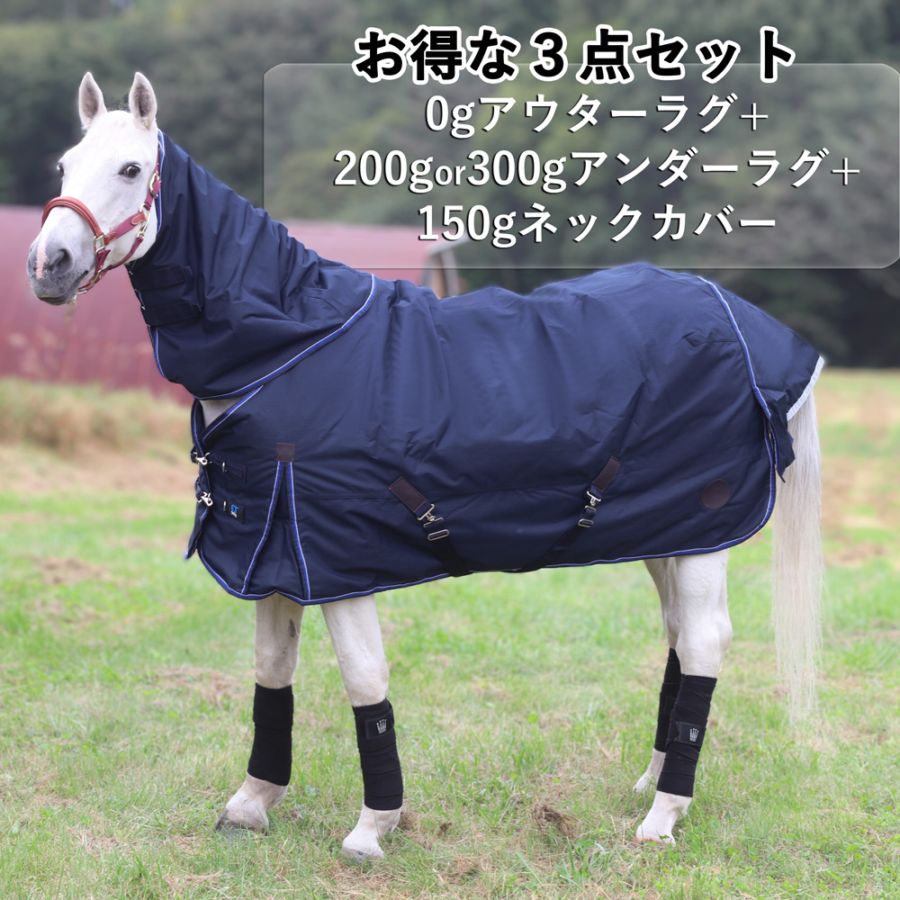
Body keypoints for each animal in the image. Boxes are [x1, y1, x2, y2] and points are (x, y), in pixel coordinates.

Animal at [26, 72, 823, 860]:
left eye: (132, 170)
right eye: (64, 166)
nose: (47, 265)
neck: (288, 347)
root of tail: (743, 323)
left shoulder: (334, 558)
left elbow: (363, 679)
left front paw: (373, 826)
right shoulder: (273, 547)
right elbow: (272, 671)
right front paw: (252, 803)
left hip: (704, 532)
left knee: (704, 641)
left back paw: (662, 816)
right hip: (669, 532)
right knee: (679, 636)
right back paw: (651, 784)